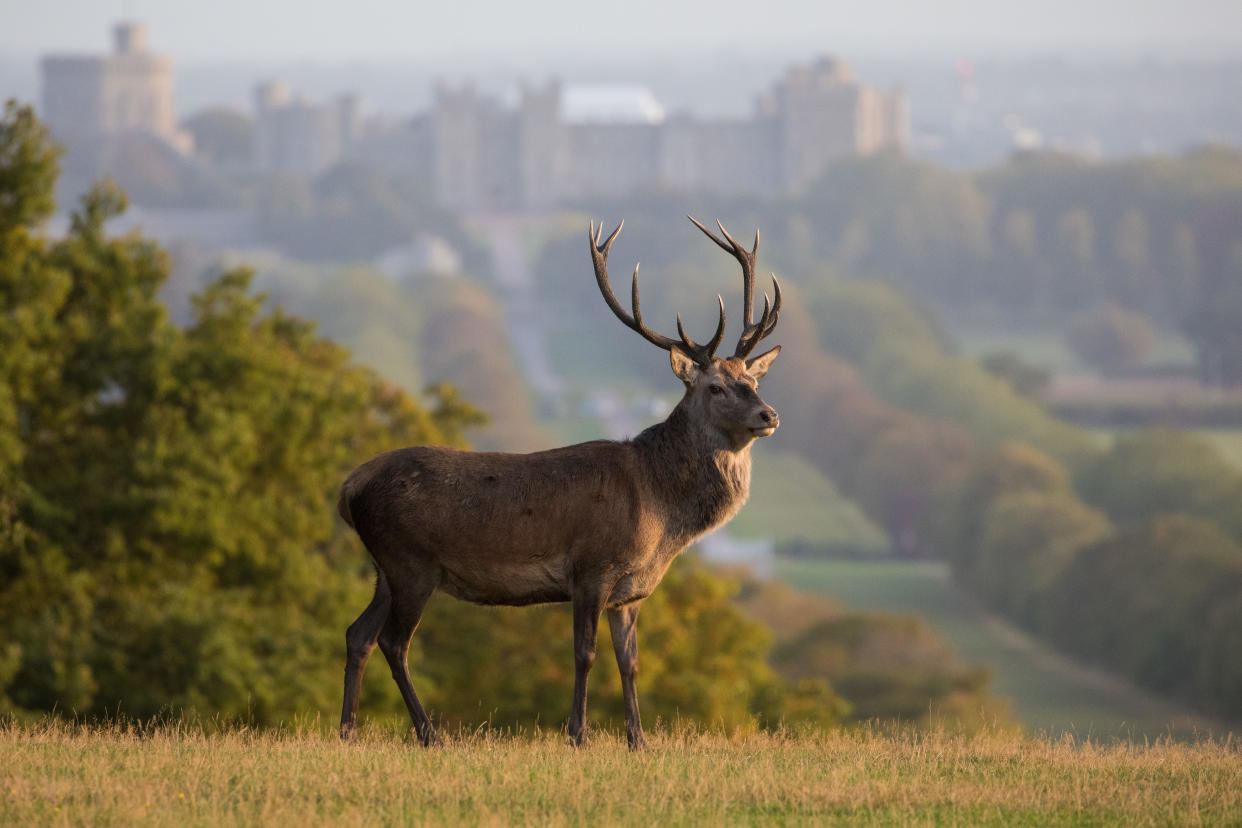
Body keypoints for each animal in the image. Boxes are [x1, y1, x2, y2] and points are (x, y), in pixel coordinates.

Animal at [335, 215, 779, 749]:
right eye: (715, 387)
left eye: (753, 381)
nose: (768, 414)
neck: (660, 516)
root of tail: (349, 488)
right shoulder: (591, 568)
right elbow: (584, 654)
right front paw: (578, 735)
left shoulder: (630, 592)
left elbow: (630, 662)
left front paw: (638, 740)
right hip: (411, 562)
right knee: (393, 642)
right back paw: (428, 733)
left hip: (384, 567)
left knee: (357, 633)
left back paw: (347, 731)